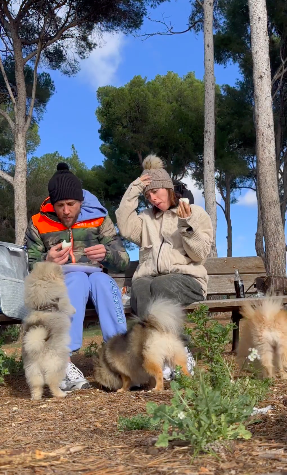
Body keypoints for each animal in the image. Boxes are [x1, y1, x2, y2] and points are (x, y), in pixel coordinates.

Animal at [22, 262, 75, 400]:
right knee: (51, 382)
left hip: (32, 369)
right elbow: (69, 307)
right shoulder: (63, 303)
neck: (43, 306)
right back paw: (61, 394)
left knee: (37, 384)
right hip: (57, 365)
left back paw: (36, 397)